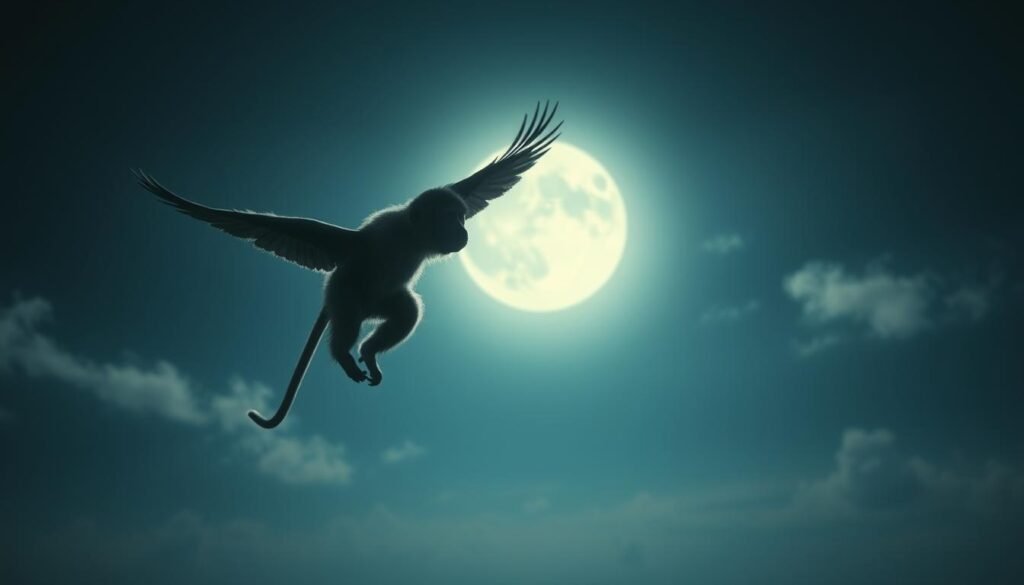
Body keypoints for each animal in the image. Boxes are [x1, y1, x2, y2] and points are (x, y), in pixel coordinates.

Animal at [135, 101, 562, 429]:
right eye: (450, 220)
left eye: (460, 216)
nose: (462, 232)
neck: (410, 234)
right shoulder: (368, 241)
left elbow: (475, 181)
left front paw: (494, 171)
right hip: (345, 293)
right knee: (351, 319)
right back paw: (345, 355)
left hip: (379, 300)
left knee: (405, 311)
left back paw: (369, 353)